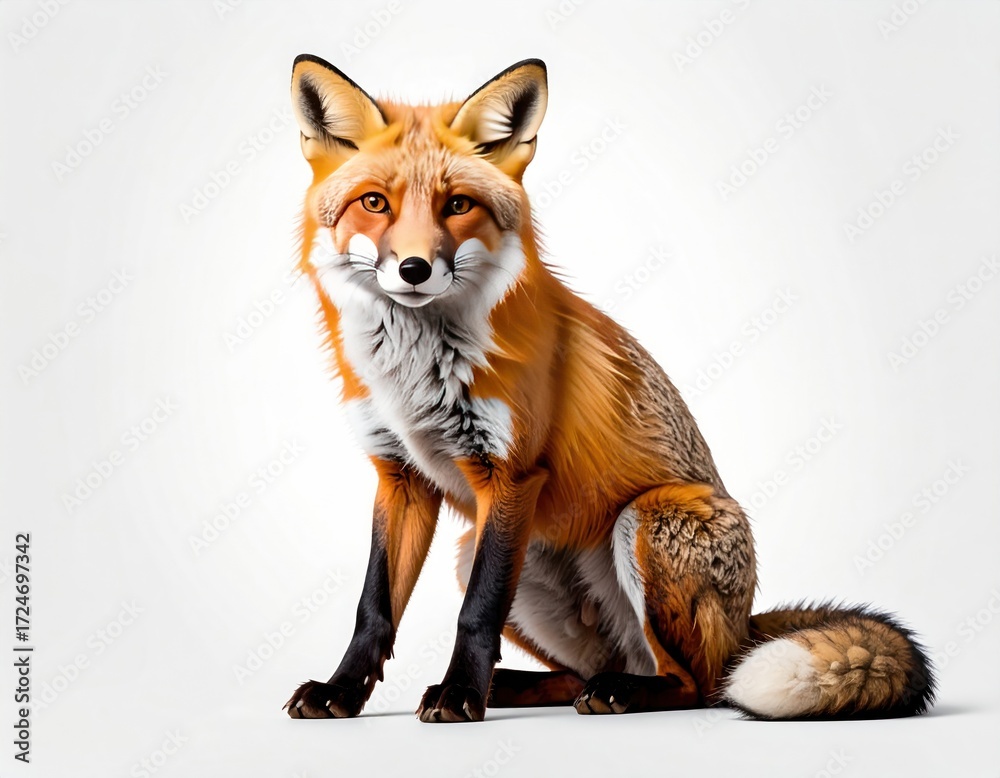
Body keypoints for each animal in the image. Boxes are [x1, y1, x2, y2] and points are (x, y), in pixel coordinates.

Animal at [283, 55, 935, 723]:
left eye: (458, 204)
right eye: (374, 203)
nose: (413, 270)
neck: (414, 372)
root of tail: (745, 624)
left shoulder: (512, 473)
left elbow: (477, 612)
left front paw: (459, 693)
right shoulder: (401, 476)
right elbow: (374, 608)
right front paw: (342, 691)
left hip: (646, 521)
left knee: (698, 684)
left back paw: (613, 692)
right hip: (489, 557)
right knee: (585, 671)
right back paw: (519, 685)